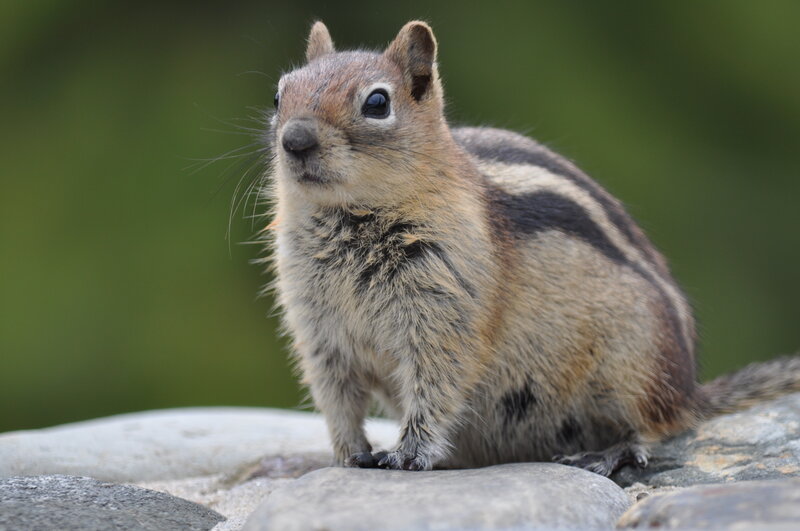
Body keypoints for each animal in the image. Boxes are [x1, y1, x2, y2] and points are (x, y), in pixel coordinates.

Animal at [260, 20, 800, 476]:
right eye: (279, 94)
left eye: (377, 103)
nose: (296, 139)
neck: (350, 220)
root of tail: (689, 390)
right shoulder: (319, 331)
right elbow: (337, 398)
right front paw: (350, 454)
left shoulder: (444, 313)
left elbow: (436, 384)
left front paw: (409, 454)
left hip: (632, 366)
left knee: (656, 425)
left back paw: (611, 451)